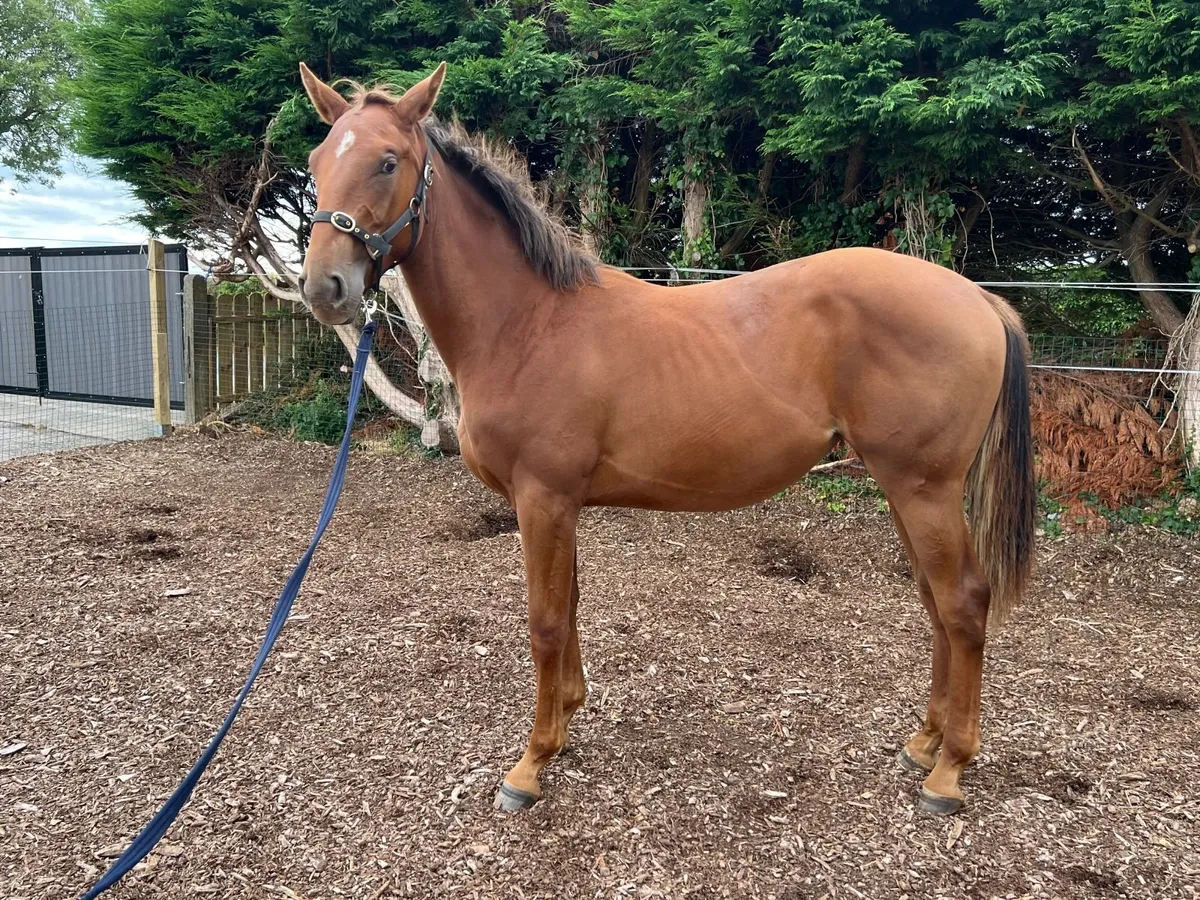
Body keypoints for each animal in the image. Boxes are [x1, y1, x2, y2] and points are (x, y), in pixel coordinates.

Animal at [296, 61, 1035, 816]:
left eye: (389, 160)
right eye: (317, 162)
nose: (325, 287)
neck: (528, 322)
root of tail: (981, 299)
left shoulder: (542, 498)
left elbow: (545, 622)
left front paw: (530, 764)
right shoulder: (562, 505)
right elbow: (571, 606)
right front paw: (566, 722)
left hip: (924, 490)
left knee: (962, 603)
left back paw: (947, 772)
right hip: (904, 489)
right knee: (935, 604)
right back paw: (923, 743)